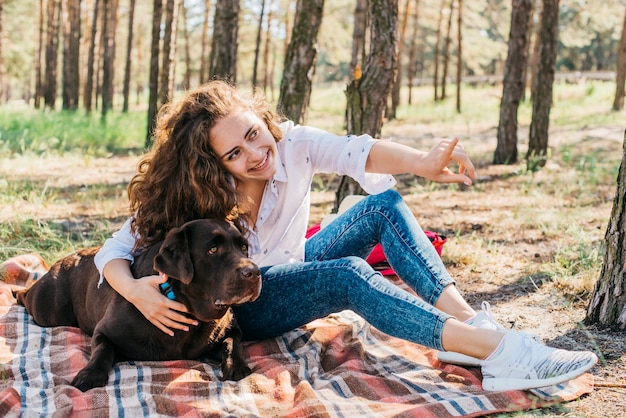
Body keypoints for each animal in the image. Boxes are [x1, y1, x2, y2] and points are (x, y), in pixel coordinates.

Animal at [15, 219, 260, 392]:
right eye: (213, 250)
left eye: (244, 248)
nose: (254, 272)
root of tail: (68, 256)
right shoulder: (104, 331)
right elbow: (102, 351)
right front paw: (89, 375)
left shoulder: (230, 329)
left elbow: (232, 343)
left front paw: (236, 366)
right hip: (50, 311)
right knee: (28, 296)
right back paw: (17, 291)